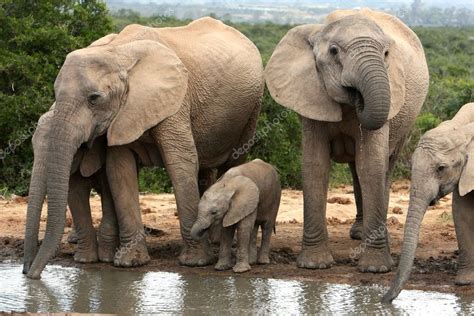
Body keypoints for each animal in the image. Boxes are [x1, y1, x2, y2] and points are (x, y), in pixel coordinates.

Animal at [264, 8, 432, 272]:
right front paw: (314, 265)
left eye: (386, 54)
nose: (358, 96)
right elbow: (315, 164)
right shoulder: (310, 94)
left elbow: (371, 165)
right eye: (334, 51)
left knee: (384, 166)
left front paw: (375, 269)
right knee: (356, 170)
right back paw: (358, 233)